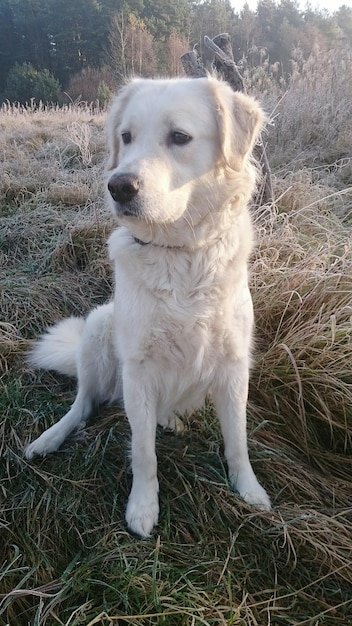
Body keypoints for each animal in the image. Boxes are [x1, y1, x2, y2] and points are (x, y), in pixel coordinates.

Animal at [26, 75, 270, 532]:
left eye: (180, 137)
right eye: (126, 137)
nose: (119, 186)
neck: (180, 255)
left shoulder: (233, 367)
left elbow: (238, 440)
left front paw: (249, 490)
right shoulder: (138, 370)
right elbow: (144, 453)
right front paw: (142, 507)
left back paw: (169, 419)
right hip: (98, 327)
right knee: (83, 404)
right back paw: (49, 439)